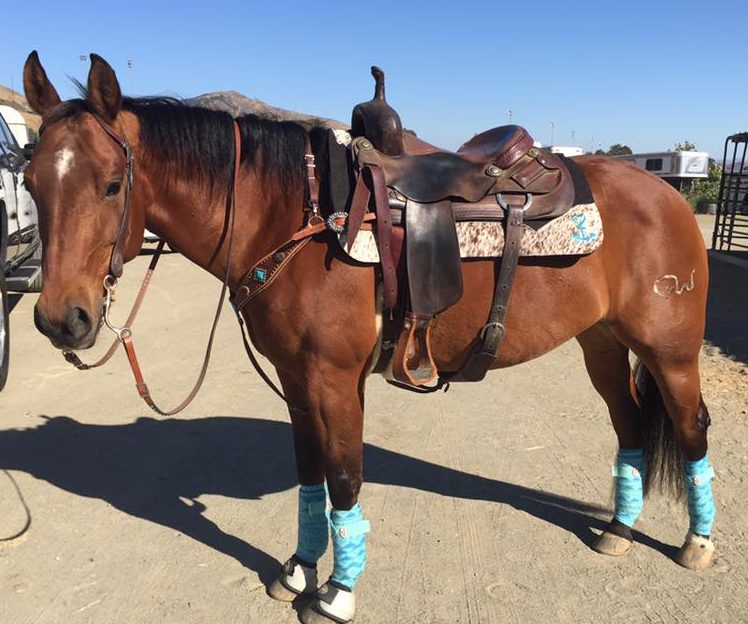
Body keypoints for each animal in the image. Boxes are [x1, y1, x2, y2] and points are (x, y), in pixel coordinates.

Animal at [22, 51, 716, 624]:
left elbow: (345, 478)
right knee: (629, 425)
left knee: (690, 427)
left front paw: (337, 593)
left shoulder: (334, 379)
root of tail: (668, 195)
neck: (295, 216)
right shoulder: (298, 381)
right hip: (602, 343)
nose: (61, 319)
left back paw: (697, 543)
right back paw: (618, 530)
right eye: (30, 184)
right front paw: (299, 569)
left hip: (670, 352)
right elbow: (310, 475)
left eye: (113, 184)